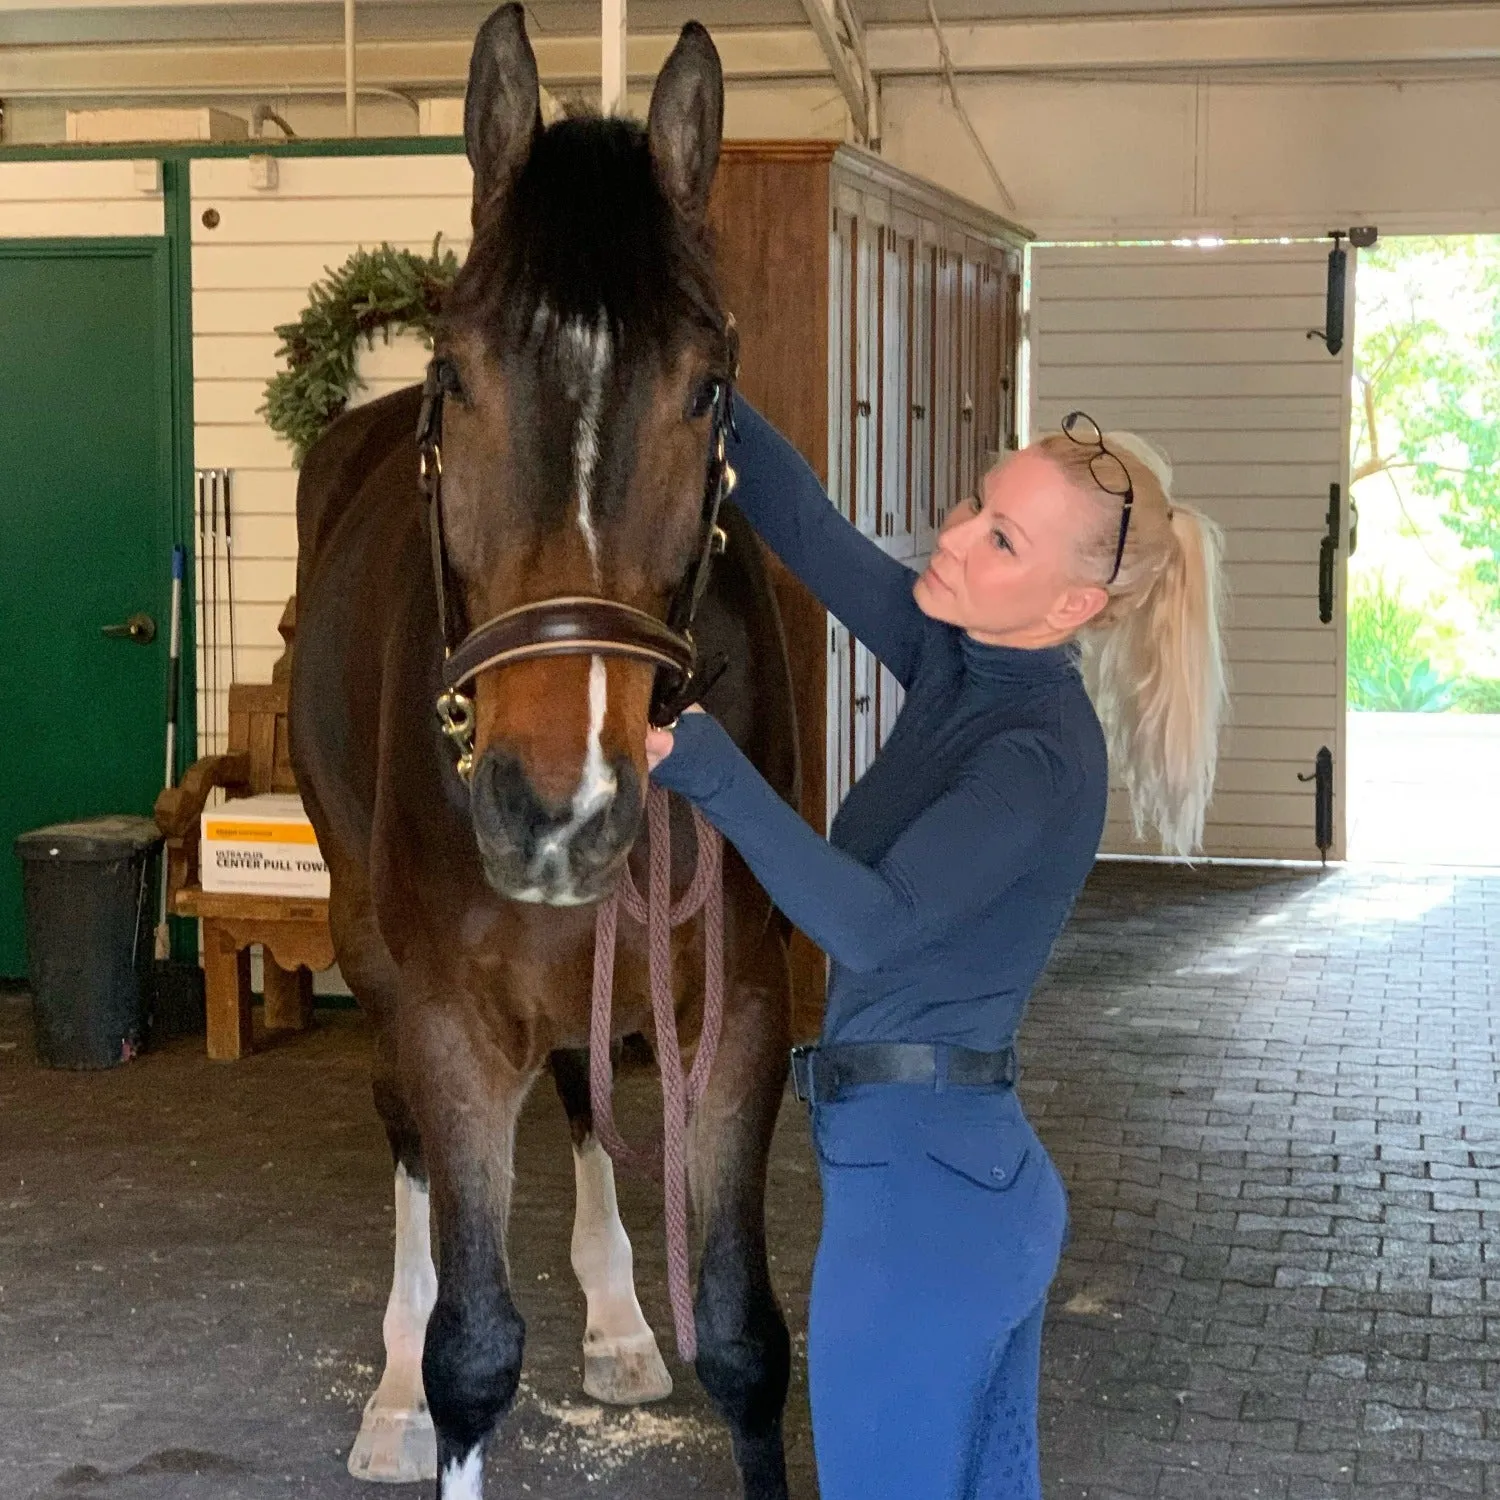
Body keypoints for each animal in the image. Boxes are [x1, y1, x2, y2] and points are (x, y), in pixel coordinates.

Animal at [292, 5, 804, 1494]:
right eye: (457, 374)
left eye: (708, 387)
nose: (555, 810)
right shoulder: (448, 1014)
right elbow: (474, 1348)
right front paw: (425, 1389)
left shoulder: (742, 1003)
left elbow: (747, 1337)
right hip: (367, 945)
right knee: (404, 1142)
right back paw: (391, 1398)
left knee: (580, 1083)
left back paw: (624, 1324)